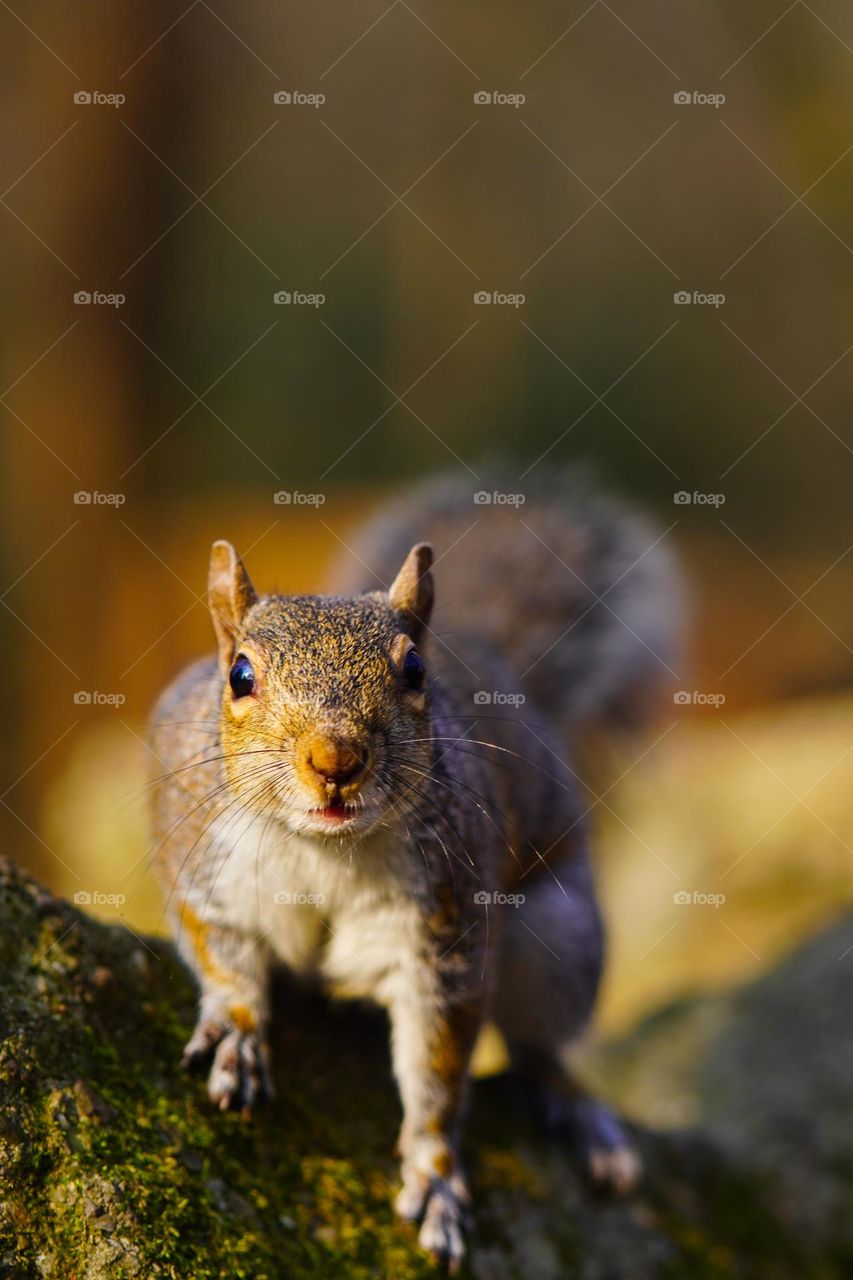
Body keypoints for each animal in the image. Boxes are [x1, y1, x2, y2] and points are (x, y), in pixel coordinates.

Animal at [148, 470, 679, 1270]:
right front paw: (239, 1030)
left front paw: (434, 1178)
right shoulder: (204, 863)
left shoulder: (442, 931)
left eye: (415, 671)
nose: (335, 760)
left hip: (558, 936)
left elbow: (436, 1064)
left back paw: (577, 1113)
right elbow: (223, 954)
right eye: (239, 675)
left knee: (538, 1042)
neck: (326, 847)